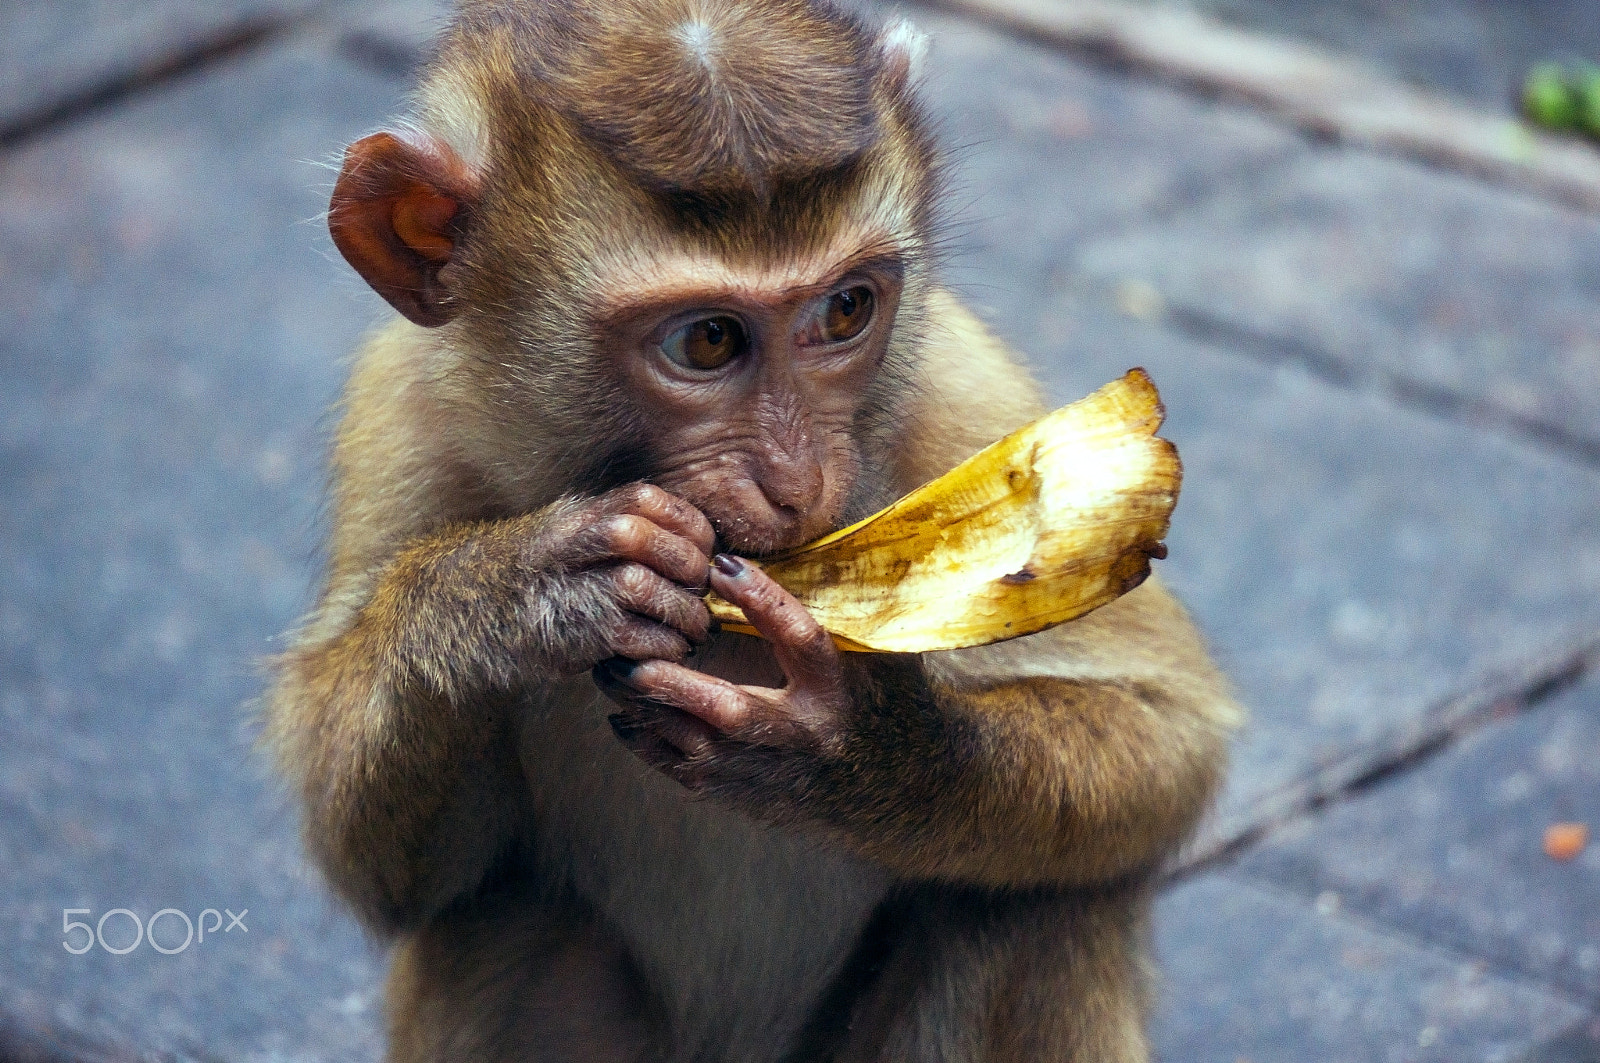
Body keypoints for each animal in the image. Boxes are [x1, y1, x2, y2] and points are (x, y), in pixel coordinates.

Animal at [266, 0, 1242, 1060]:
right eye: (708, 340)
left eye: (846, 308)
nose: (797, 479)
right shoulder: (403, 419)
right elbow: (388, 872)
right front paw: (515, 589)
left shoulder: (958, 389)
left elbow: (1163, 729)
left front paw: (854, 746)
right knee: (493, 919)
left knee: (1034, 903)